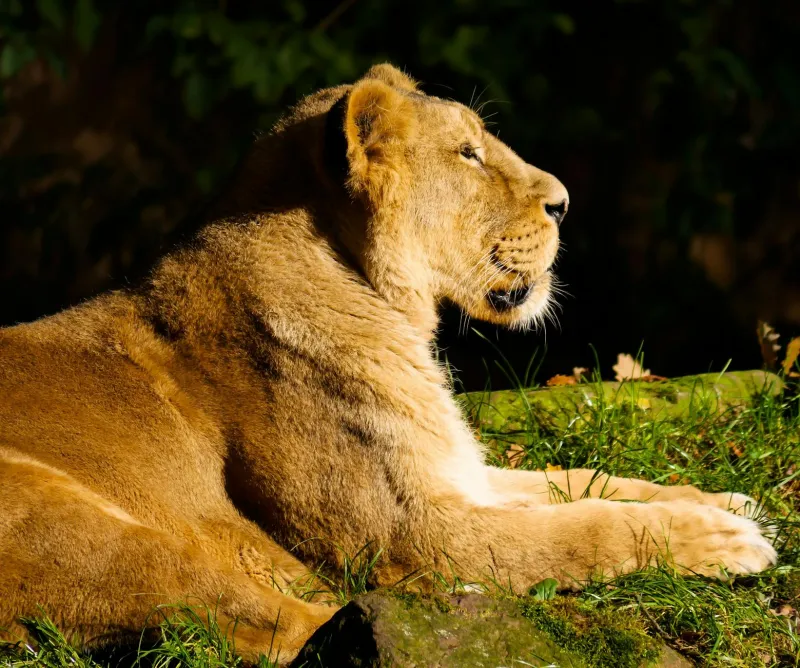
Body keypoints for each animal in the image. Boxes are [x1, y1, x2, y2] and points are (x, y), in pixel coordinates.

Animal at [0, 64, 776, 663]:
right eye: (467, 154)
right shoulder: (411, 538)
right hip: (93, 531)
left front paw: (721, 502)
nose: (563, 202)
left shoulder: (451, 472)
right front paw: (724, 539)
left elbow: (584, 482)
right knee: (285, 632)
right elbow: (580, 529)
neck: (392, 309)